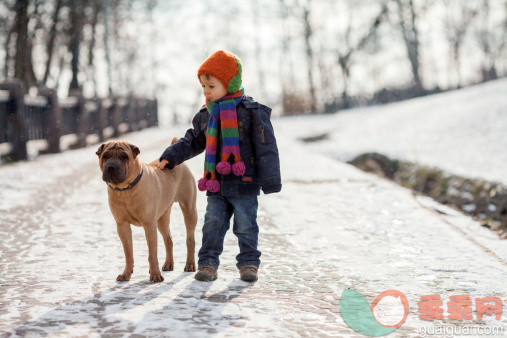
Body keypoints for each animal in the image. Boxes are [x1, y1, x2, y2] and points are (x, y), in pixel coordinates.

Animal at [95, 137, 198, 282]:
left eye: (124, 156)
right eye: (105, 156)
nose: (111, 167)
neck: (126, 190)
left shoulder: (149, 224)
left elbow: (152, 254)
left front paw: (155, 275)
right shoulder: (122, 225)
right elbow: (128, 253)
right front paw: (126, 273)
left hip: (189, 209)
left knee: (190, 239)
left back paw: (190, 264)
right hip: (162, 218)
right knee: (168, 240)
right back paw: (168, 264)